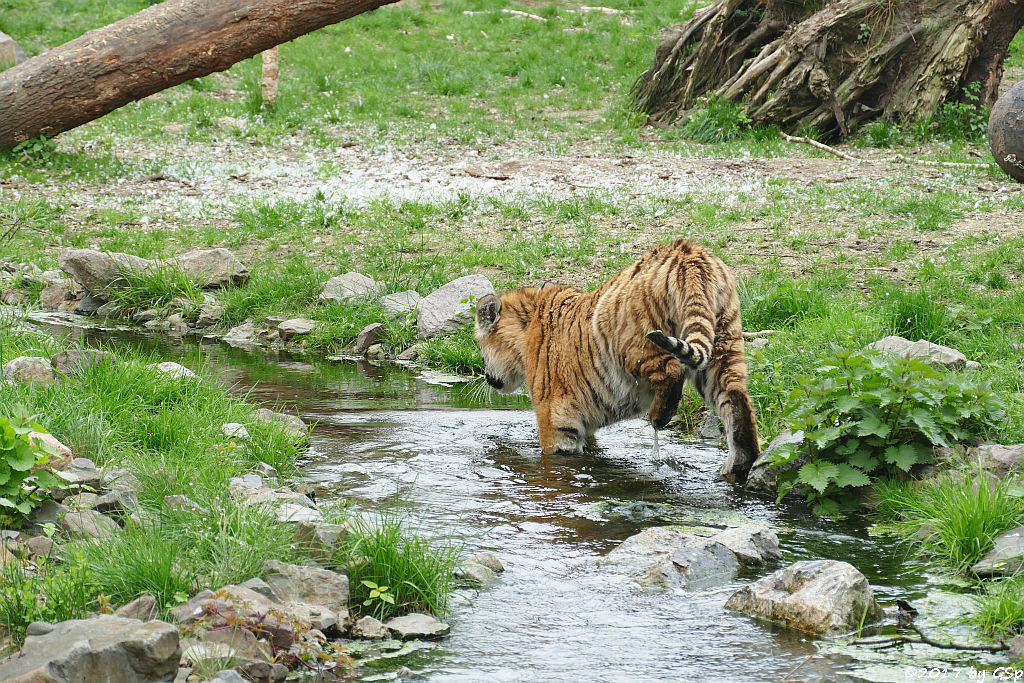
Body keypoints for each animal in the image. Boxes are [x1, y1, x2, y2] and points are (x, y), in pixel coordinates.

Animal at [473, 237, 761, 483]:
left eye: (480, 345)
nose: (486, 377)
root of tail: (689, 253)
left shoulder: (554, 415)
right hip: (725, 345)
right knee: (737, 399)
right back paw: (738, 468)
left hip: (632, 345)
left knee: (671, 370)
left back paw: (659, 417)